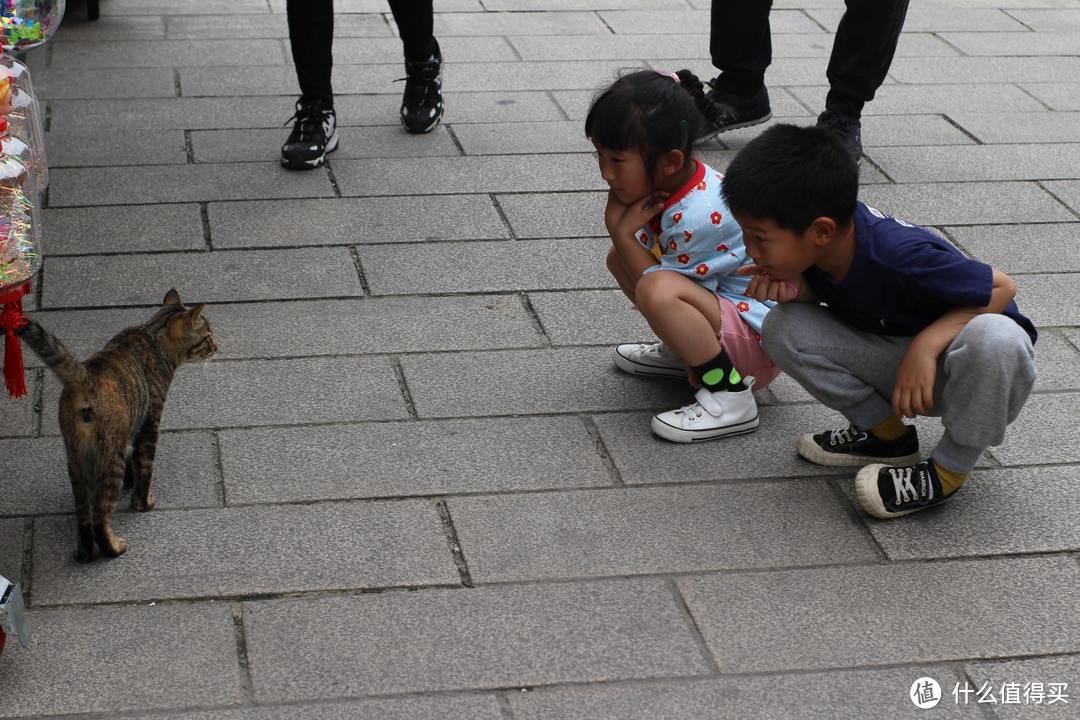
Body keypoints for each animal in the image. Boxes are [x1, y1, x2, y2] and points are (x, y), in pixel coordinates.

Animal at [17, 289, 217, 561]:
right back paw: (114, 547)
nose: (217, 347)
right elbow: (145, 469)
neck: (153, 335)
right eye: (208, 335)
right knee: (101, 517)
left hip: (77, 459)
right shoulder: (150, 423)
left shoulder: (134, 430)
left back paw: (84, 553)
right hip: (111, 457)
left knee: (84, 515)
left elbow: (136, 462)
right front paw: (142, 503)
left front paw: (131, 484)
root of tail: (85, 380)